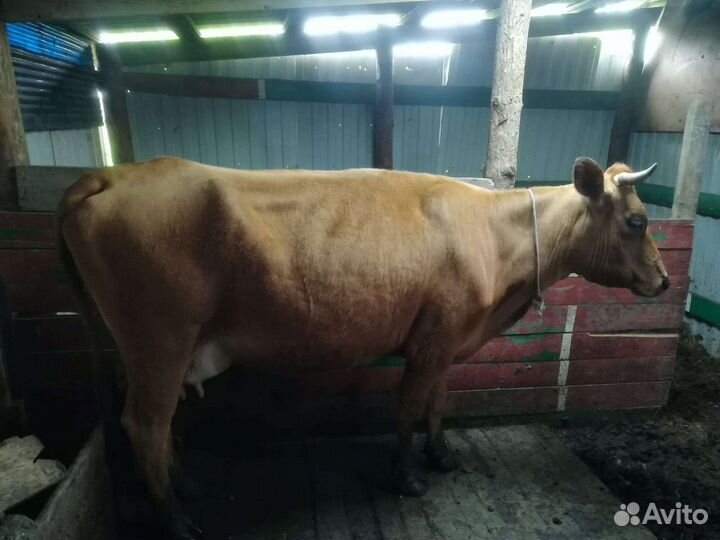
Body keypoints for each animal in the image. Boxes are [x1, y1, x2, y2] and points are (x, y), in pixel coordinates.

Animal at [57, 156, 667, 539]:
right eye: (637, 221)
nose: (663, 281)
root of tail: (111, 174)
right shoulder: (432, 339)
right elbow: (408, 407)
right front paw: (407, 476)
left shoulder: (446, 335)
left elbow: (438, 402)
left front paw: (441, 455)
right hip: (160, 338)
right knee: (145, 423)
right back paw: (176, 521)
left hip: (145, 349)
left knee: (157, 424)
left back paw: (186, 486)